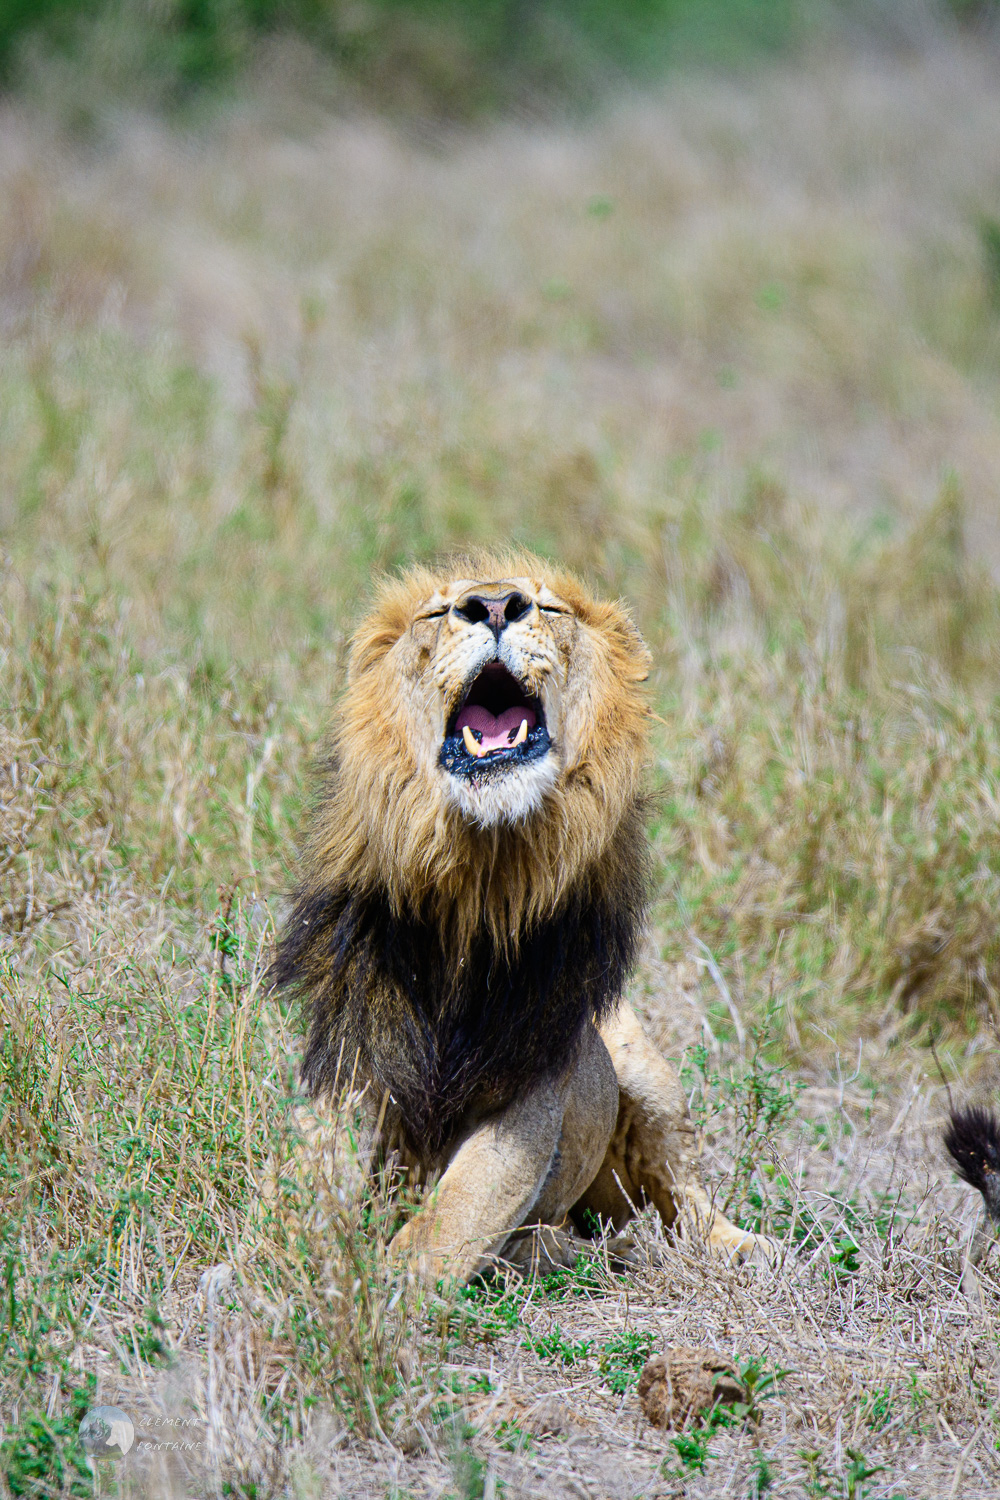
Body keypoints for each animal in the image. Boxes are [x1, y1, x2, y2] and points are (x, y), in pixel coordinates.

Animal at [269, 558, 773, 1284]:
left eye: (548, 608)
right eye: (437, 613)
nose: (494, 606)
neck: (477, 887)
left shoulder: (533, 1092)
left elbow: (454, 1214)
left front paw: (383, 1289)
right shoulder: (356, 1058)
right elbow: (306, 1180)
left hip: (642, 1069)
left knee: (680, 1190)